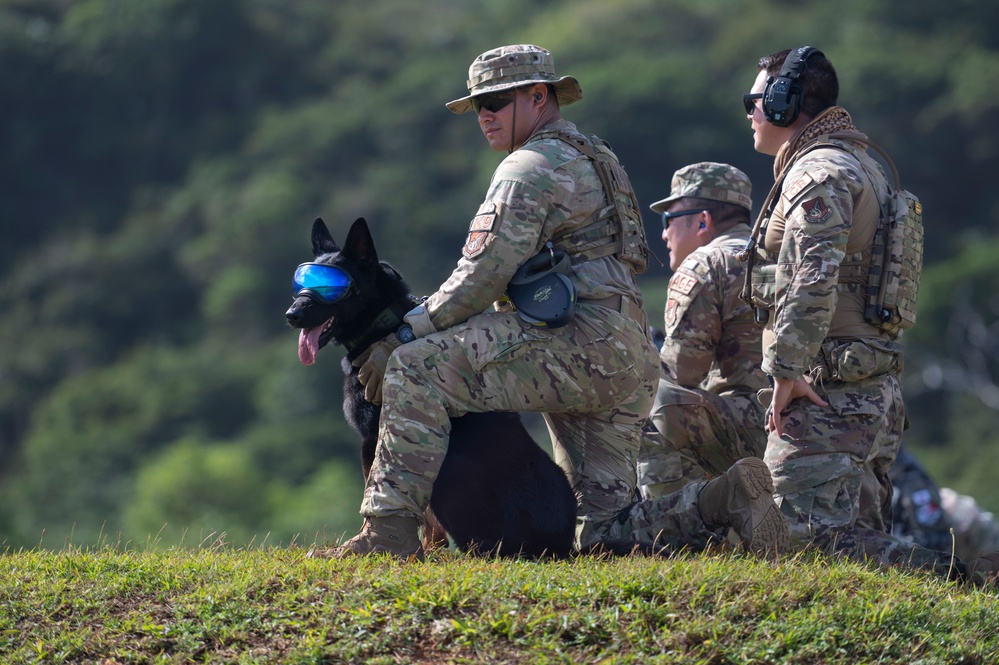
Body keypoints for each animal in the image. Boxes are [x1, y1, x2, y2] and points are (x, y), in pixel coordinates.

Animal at [282, 217, 580, 556]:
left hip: (452, 471)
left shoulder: (373, 438)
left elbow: (378, 494)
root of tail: (560, 546)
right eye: (301, 284)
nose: (291, 315)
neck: (381, 325)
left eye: (331, 289)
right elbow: (425, 520)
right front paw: (424, 552)